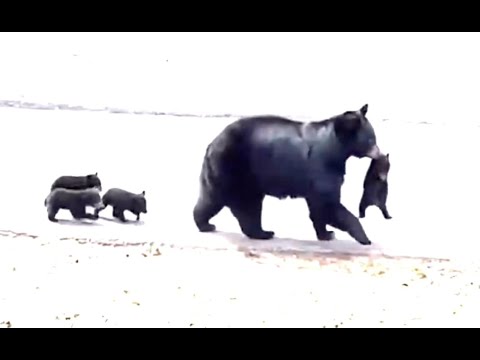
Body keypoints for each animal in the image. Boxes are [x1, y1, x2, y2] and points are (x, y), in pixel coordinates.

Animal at [193, 102, 384, 246]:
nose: (380, 153)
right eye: (371, 140)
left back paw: (207, 224)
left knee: (213, 199)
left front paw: (326, 233)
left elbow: (318, 207)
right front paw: (364, 237)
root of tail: (213, 143)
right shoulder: (322, 167)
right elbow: (328, 203)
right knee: (244, 205)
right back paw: (261, 232)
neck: (337, 149)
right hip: (238, 171)